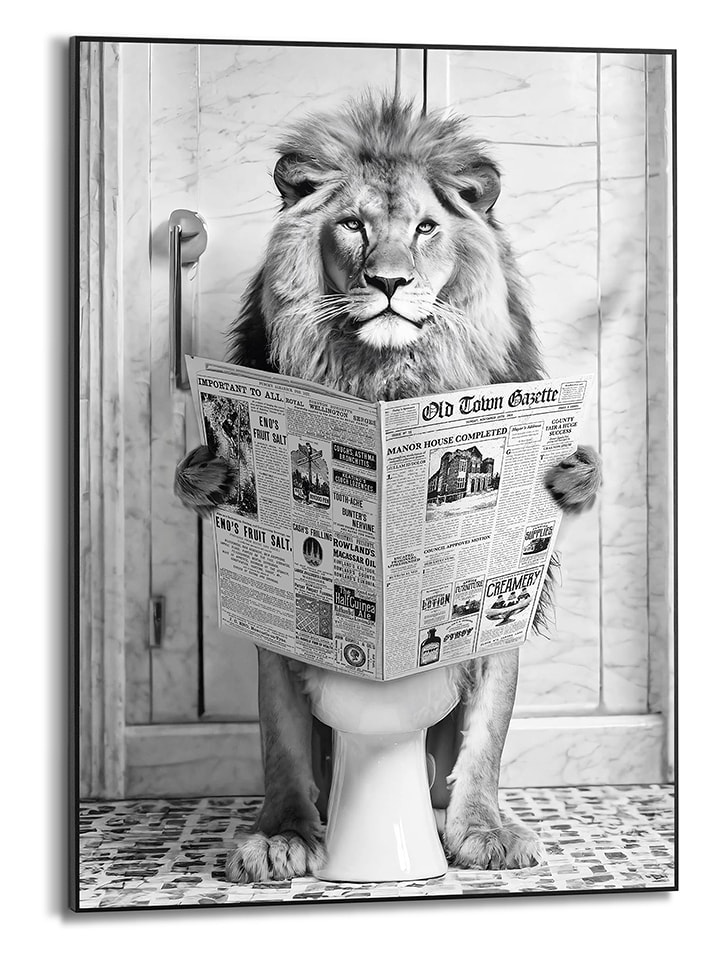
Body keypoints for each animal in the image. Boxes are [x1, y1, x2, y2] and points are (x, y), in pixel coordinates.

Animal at [175, 96, 601, 881]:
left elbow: (488, 736)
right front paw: (283, 835)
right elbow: (280, 739)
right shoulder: (280, 636)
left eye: (426, 228)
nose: (390, 283)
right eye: (353, 224)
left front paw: (485, 829)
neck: (383, 379)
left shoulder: (502, 606)